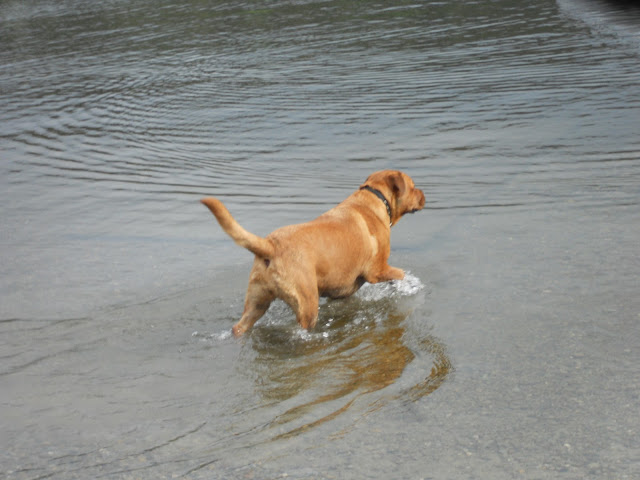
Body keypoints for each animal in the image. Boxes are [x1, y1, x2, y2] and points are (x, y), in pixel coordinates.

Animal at [201, 171, 424, 336]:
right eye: (413, 186)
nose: (424, 195)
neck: (375, 199)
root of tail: (270, 245)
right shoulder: (377, 270)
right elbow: (400, 274)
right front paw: (406, 284)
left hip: (256, 302)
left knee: (239, 327)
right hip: (306, 303)